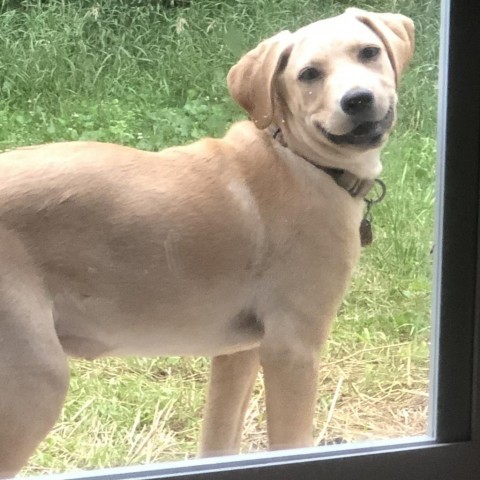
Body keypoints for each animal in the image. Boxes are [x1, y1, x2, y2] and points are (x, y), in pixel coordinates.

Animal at [0, 7, 412, 476]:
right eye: (309, 74)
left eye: (369, 52)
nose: (357, 99)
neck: (298, 158)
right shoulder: (293, 349)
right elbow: (290, 440)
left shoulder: (239, 351)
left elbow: (218, 440)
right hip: (34, 380)